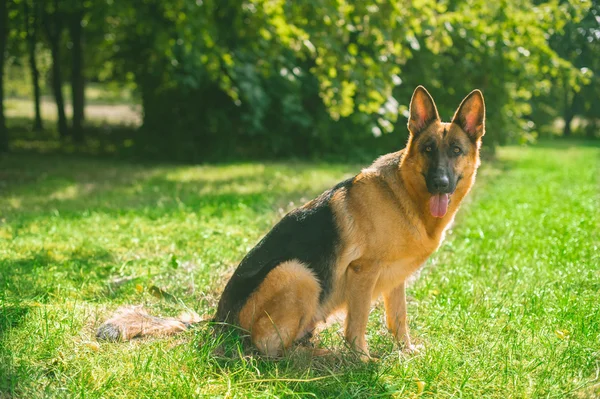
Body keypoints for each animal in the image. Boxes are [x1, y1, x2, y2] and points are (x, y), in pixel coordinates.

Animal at [96, 86, 486, 360]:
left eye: (455, 151)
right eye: (428, 150)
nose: (440, 184)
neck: (404, 195)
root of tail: (219, 320)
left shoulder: (395, 281)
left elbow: (398, 319)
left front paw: (405, 351)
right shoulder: (363, 273)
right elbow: (357, 325)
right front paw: (362, 360)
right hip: (298, 273)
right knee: (268, 349)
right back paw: (318, 356)